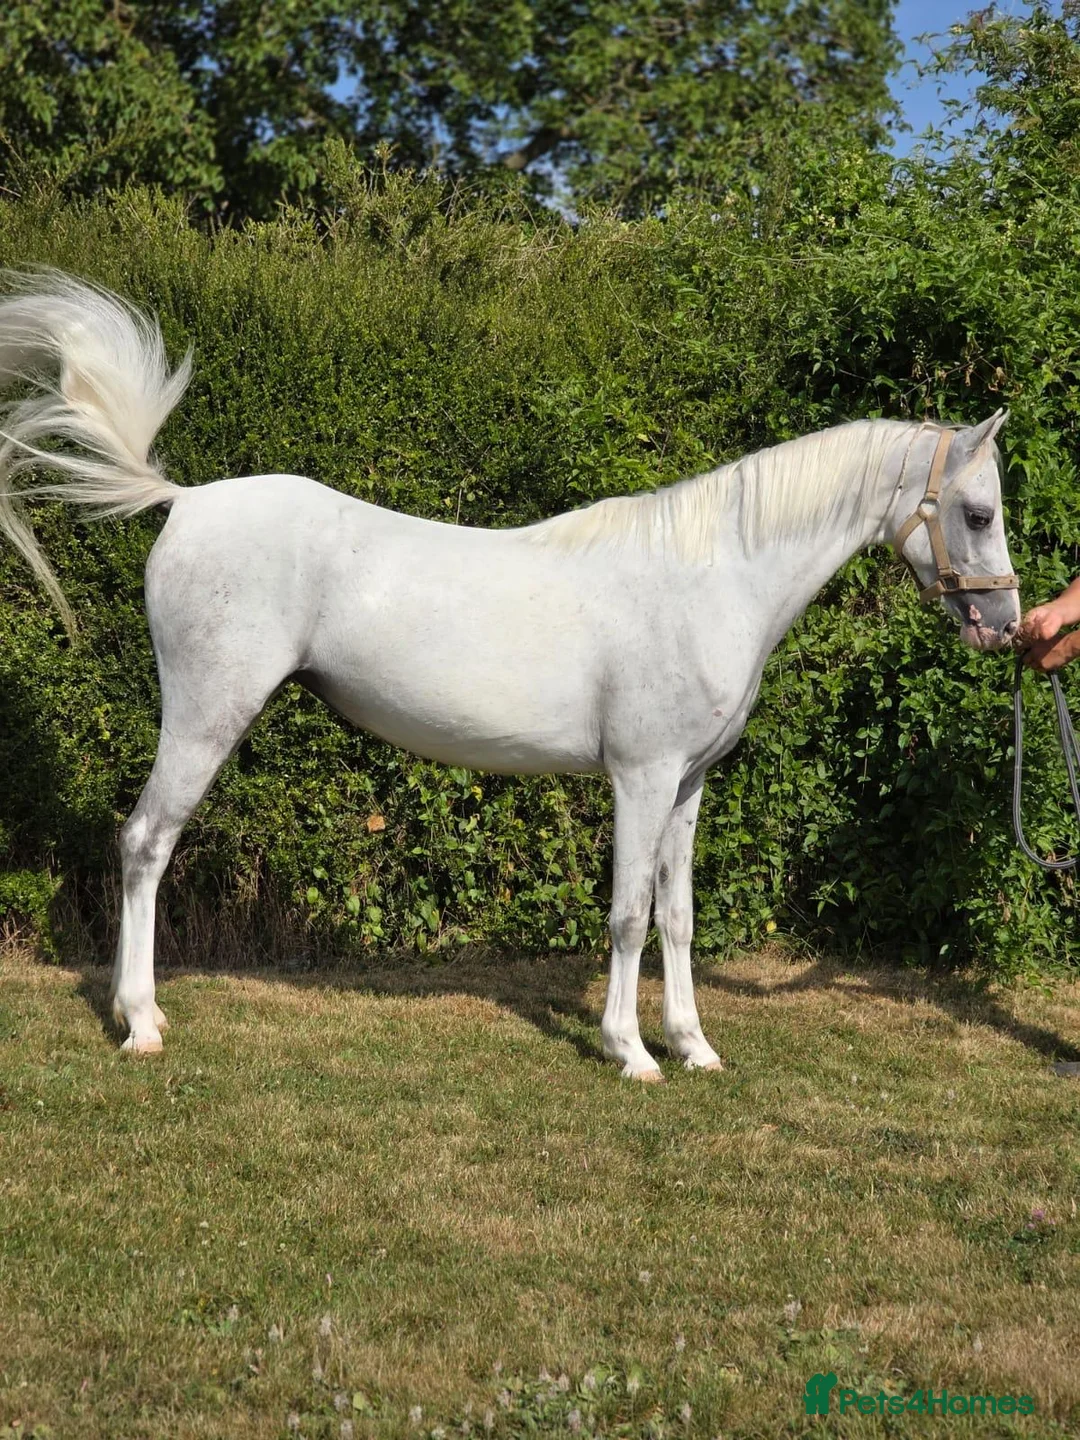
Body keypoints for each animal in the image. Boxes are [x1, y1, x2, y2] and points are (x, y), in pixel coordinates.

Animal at [0, 272, 1020, 1078]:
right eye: (976, 513)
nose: (1006, 624)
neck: (711, 576)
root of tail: (185, 501)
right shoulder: (640, 777)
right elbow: (628, 913)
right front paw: (631, 1052)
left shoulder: (689, 783)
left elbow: (679, 916)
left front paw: (694, 1045)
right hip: (205, 718)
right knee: (145, 844)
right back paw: (141, 1024)